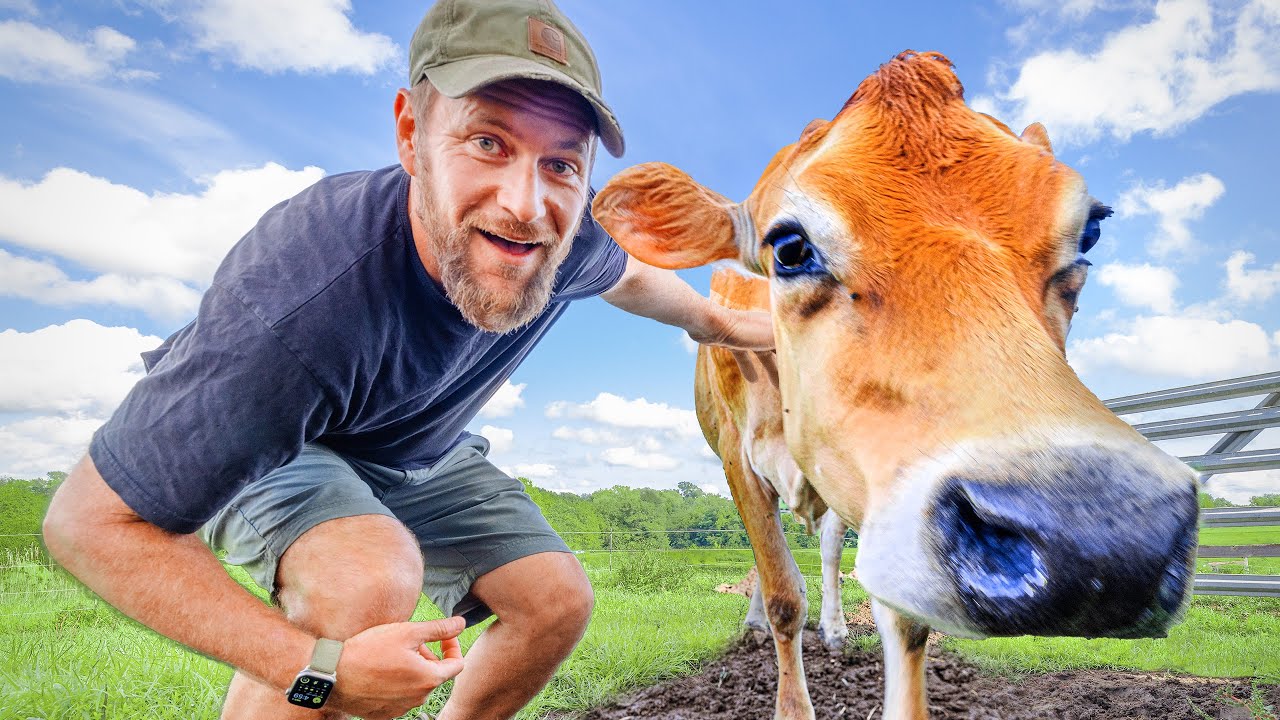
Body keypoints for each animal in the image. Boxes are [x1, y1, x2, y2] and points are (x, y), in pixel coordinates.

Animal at [592, 51, 1199, 720]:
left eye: (1089, 232)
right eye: (789, 246)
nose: (1104, 536)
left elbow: (901, 620)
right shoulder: (738, 457)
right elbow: (781, 592)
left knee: (832, 547)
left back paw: (834, 629)